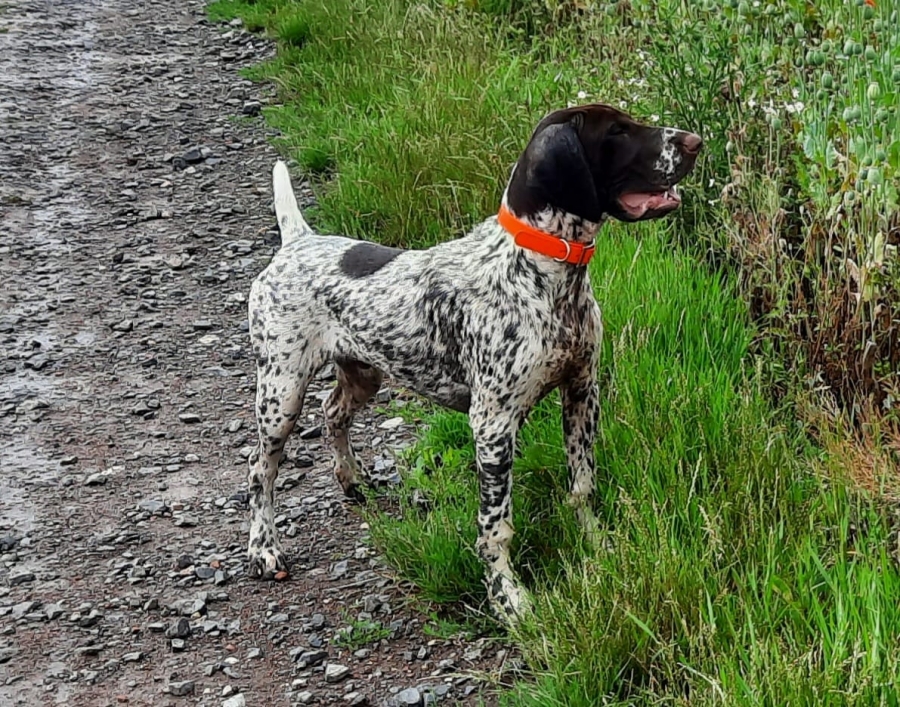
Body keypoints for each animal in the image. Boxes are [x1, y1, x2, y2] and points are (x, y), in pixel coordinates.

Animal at [245, 103, 701, 619]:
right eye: (618, 132)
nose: (695, 141)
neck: (541, 270)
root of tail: (296, 242)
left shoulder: (583, 390)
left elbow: (582, 486)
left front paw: (599, 546)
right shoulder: (493, 423)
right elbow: (495, 527)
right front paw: (509, 598)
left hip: (363, 375)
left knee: (333, 412)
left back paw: (352, 478)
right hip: (281, 392)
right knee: (260, 470)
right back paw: (264, 548)